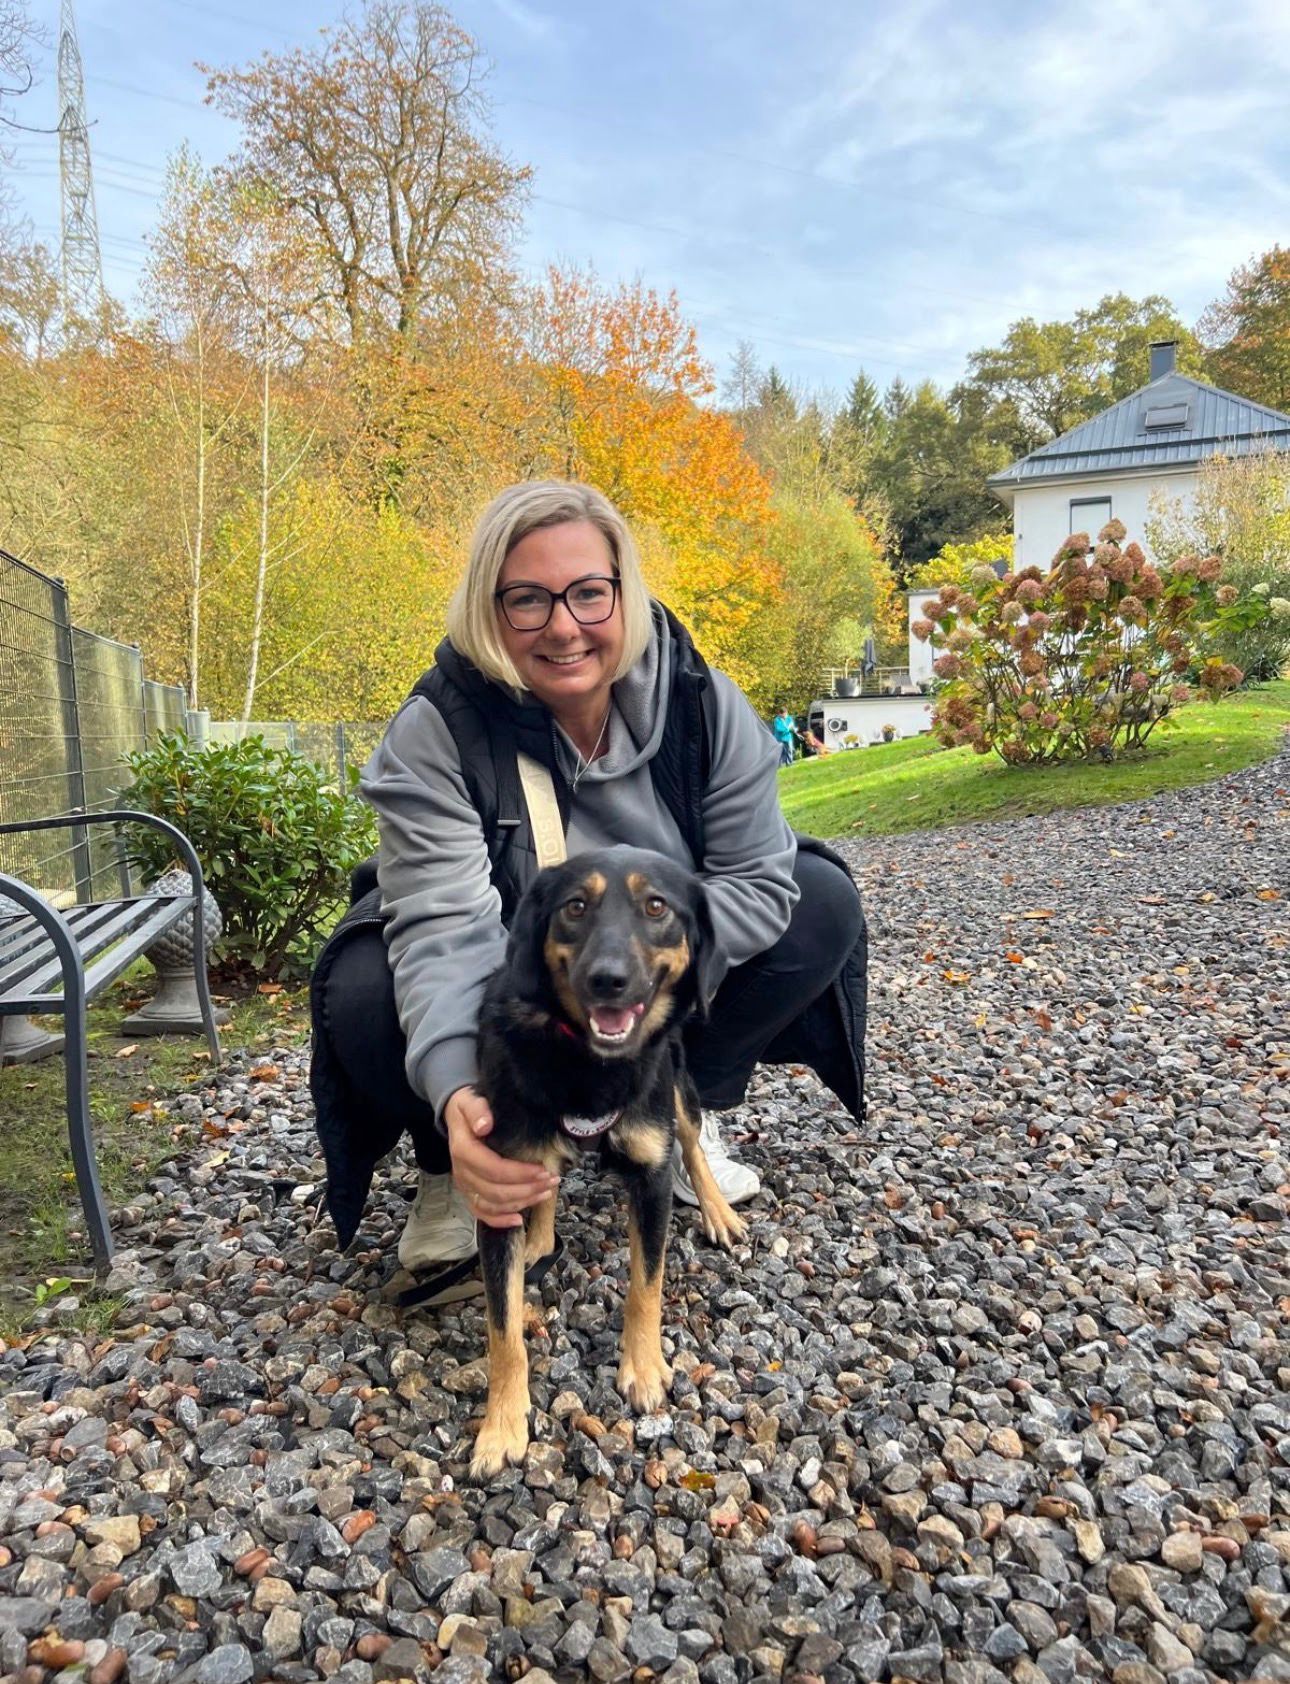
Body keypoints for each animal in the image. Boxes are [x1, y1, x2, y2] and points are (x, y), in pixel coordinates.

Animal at [468, 845, 748, 1479]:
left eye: (656, 906)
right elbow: (503, 1331)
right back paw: (540, 1238)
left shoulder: (651, 1175)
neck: (586, 1064)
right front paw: (501, 1426)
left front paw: (642, 1370)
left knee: (693, 1142)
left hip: (676, 1089)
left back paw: (718, 1212)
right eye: (575, 906)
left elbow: (647, 1283)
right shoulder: (497, 1190)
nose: (608, 980)